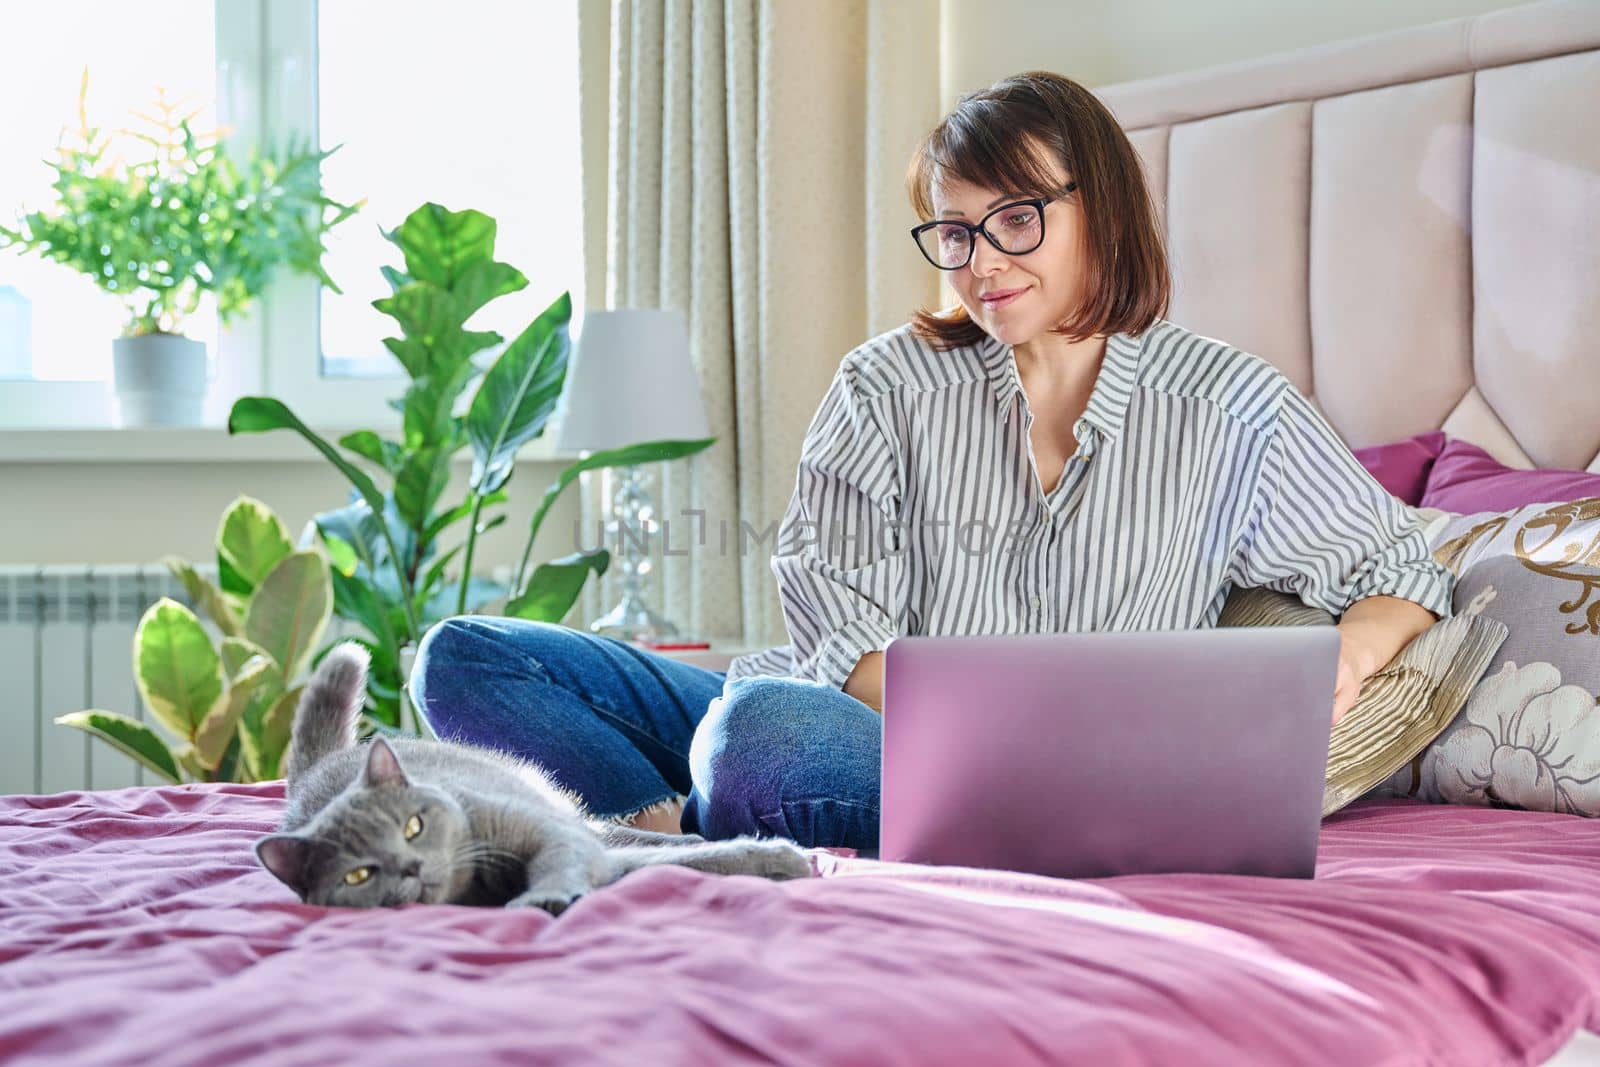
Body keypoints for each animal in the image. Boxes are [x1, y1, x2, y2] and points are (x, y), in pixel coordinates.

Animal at [257, 639, 819, 915]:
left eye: (413, 827)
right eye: (358, 876)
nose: (411, 868)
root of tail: (314, 775)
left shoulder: (549, 834)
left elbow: (572, 856)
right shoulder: (598, 857)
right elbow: (665, 867)